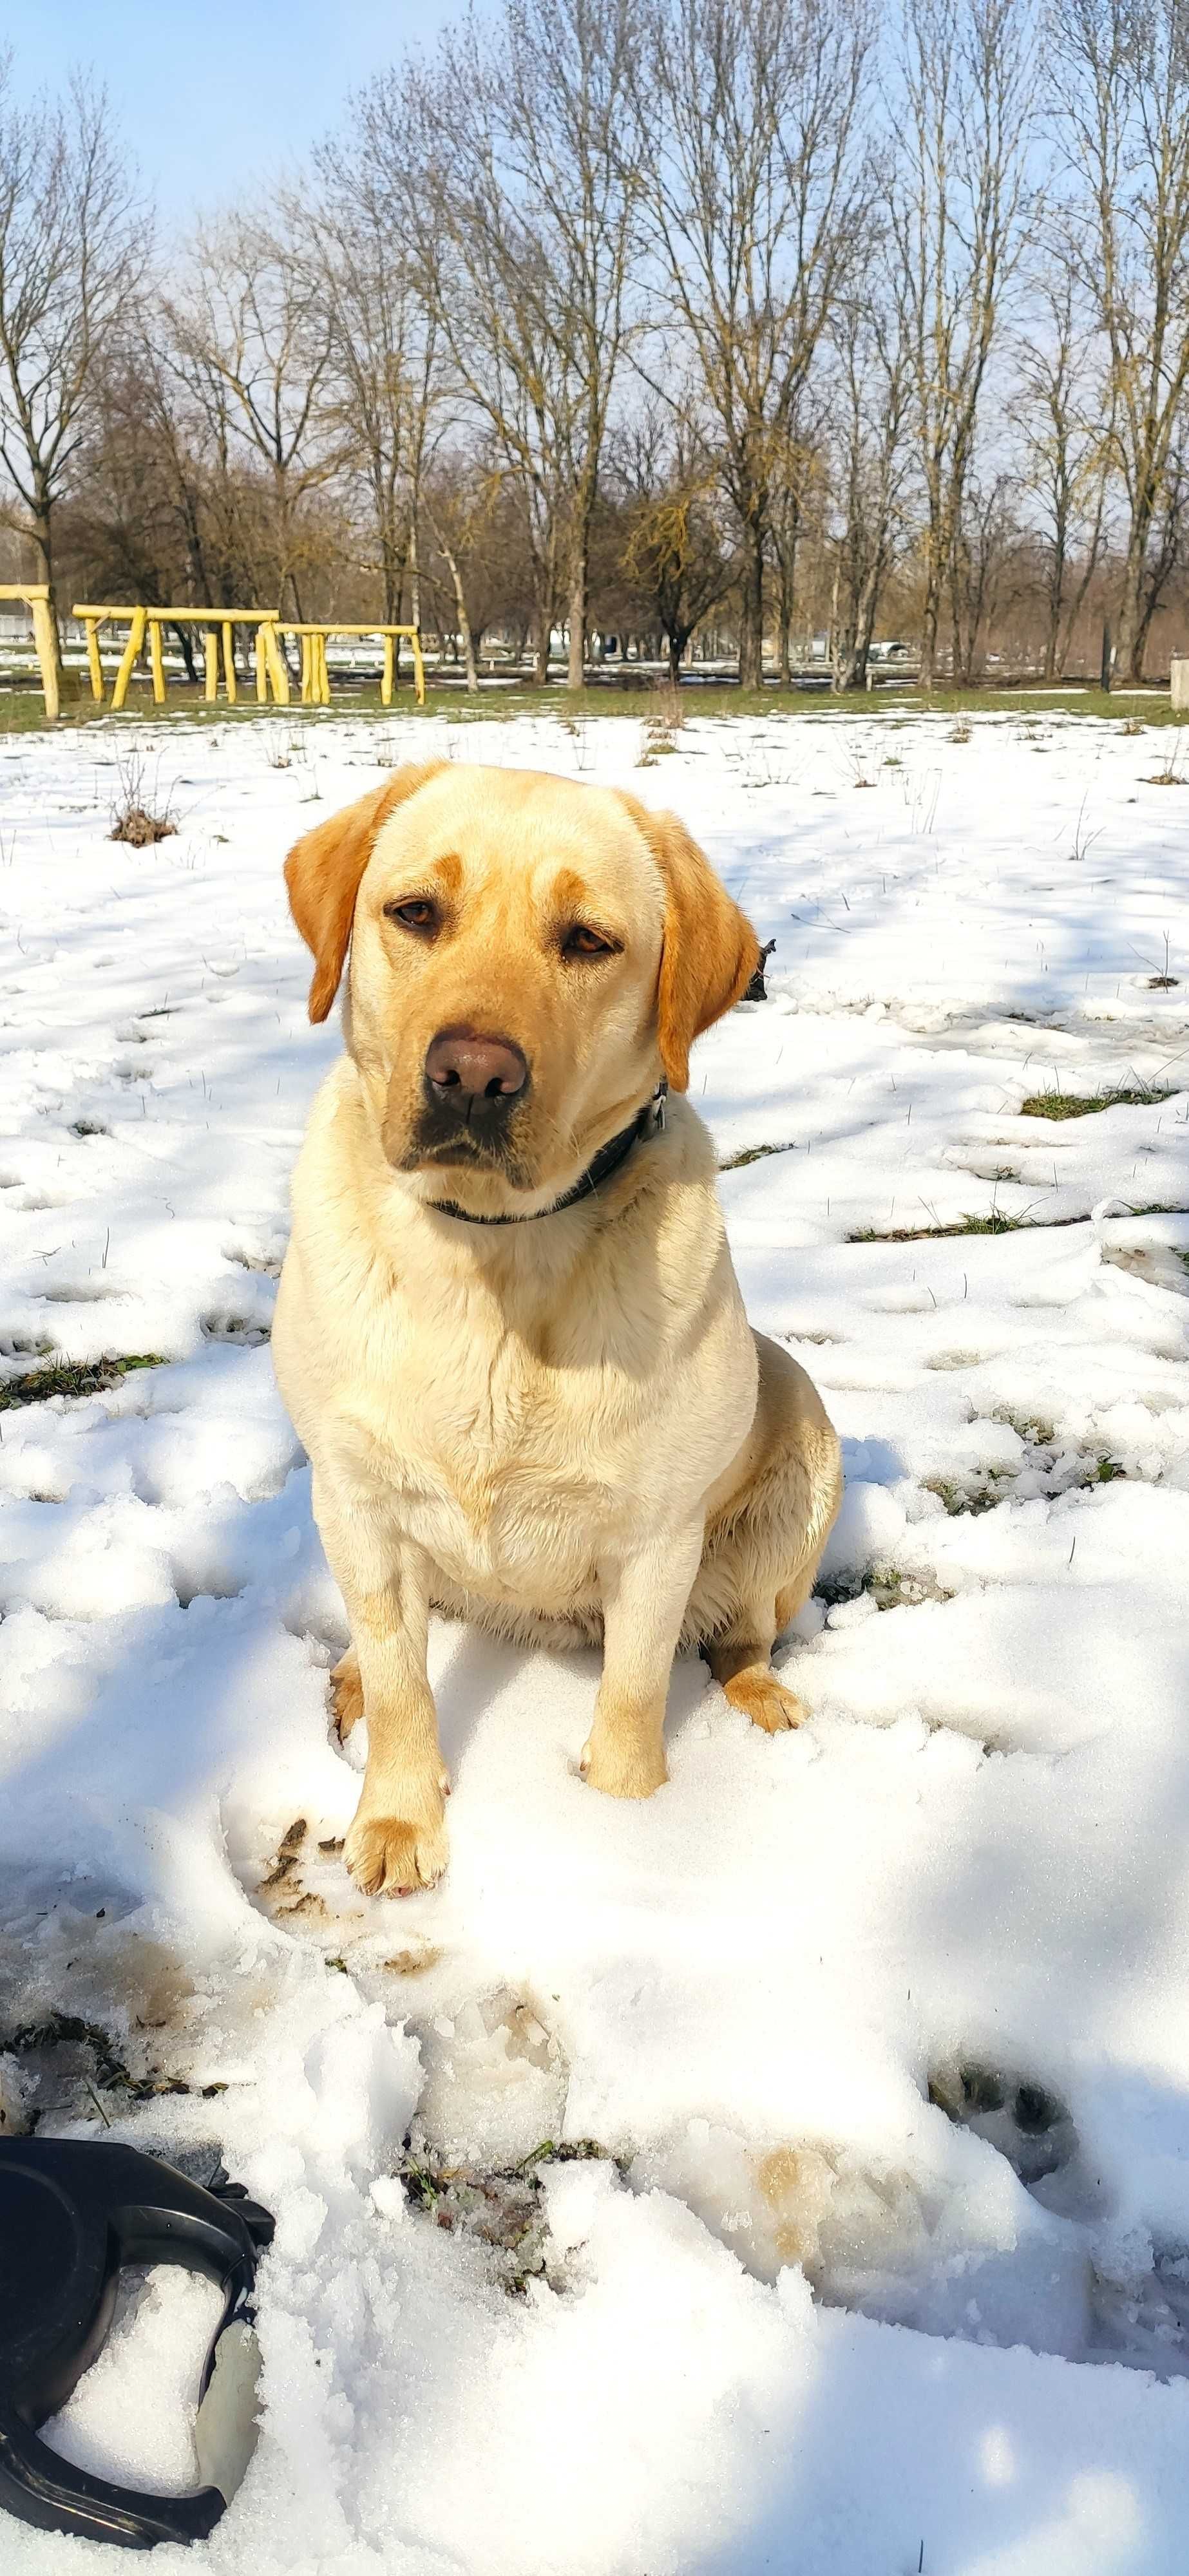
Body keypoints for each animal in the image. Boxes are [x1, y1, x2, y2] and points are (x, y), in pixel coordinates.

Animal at [274, 762, 839, 1896]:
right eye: (415, 913)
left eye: (587, 940)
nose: (471, 1075)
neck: (492, 1255)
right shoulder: (352, 1496)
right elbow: (404, 1686)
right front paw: (396, 1823)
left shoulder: (655, 1539)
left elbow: (631, 1704)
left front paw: (624, 1839)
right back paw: (347, 1676)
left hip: (806, 1445)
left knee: (741, 1637)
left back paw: (762, 1702)